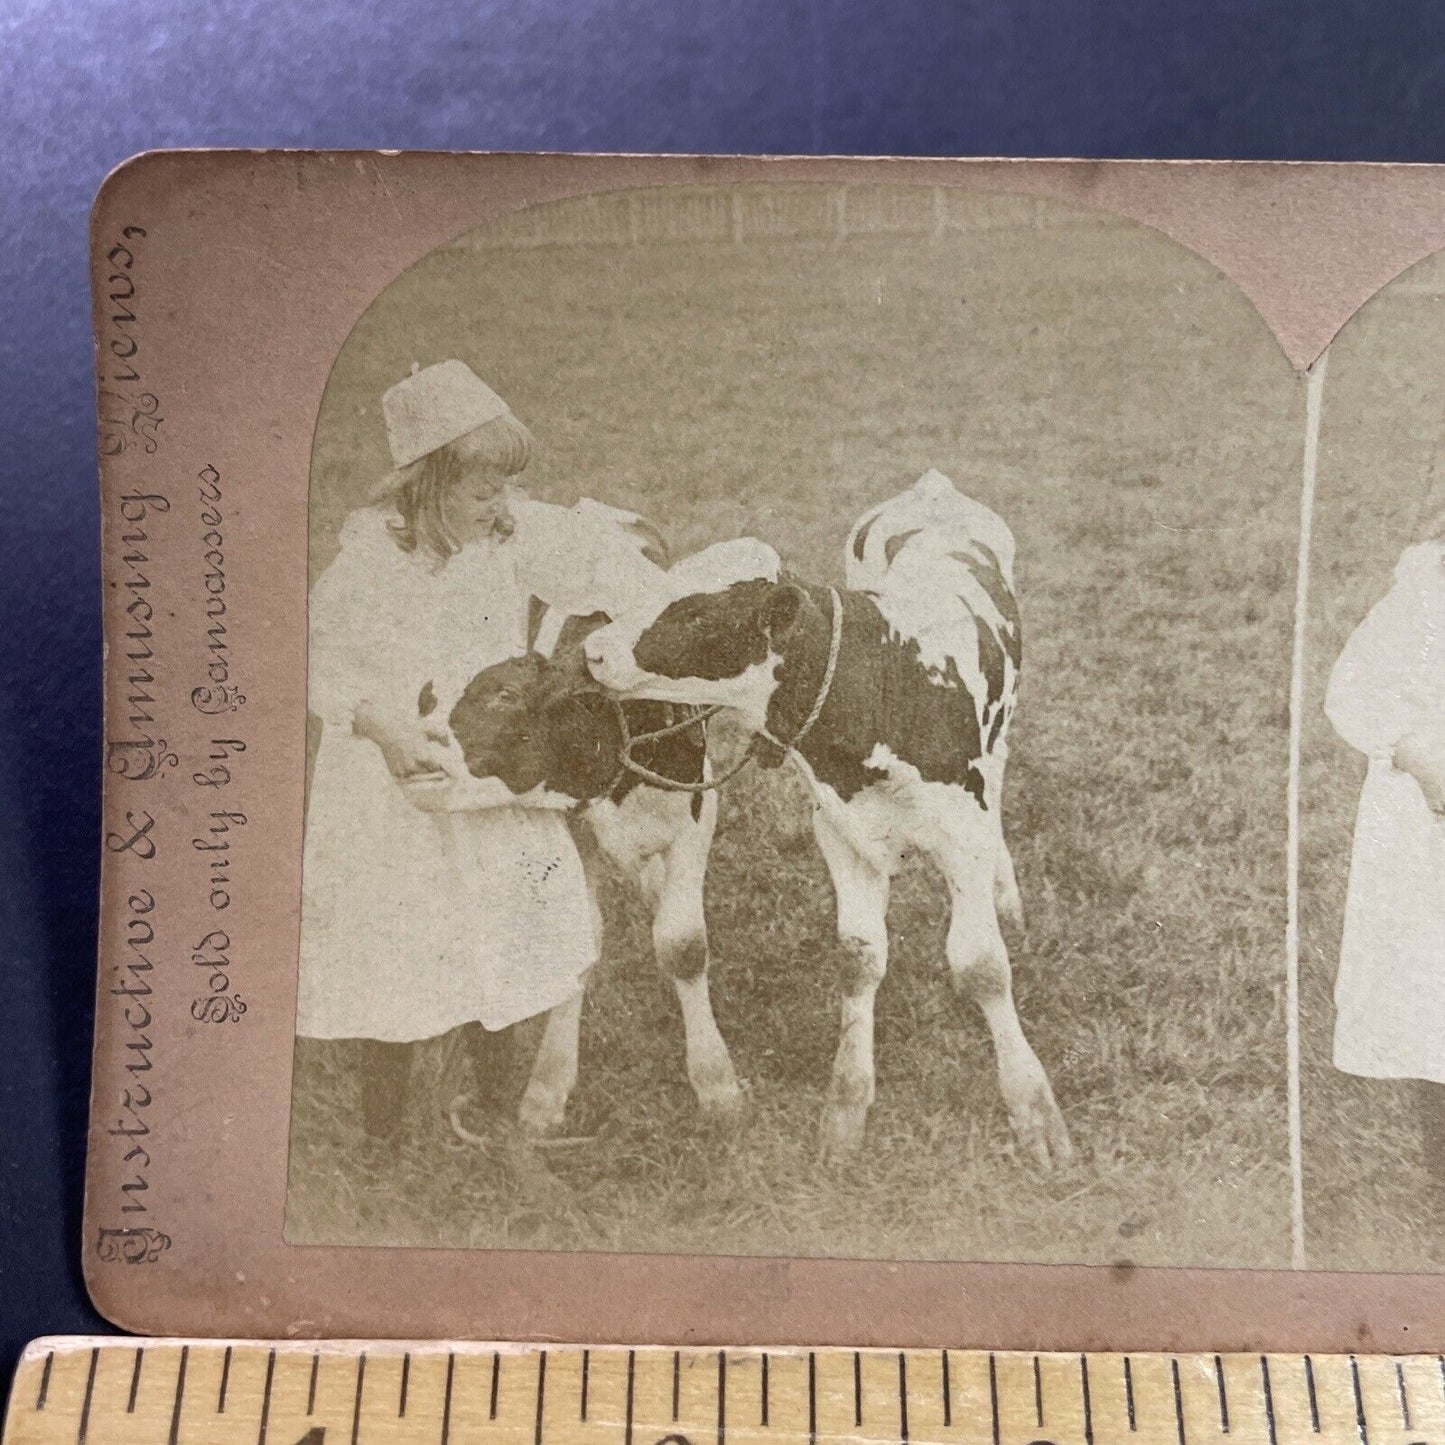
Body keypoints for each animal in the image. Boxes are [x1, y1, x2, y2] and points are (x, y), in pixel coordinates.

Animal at [447, 609, 745, 1127]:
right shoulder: (570, 824)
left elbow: (684, 945)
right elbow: (579, 940)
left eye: (505, 696)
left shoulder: (698, 810)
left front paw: (716, 1083)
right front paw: (547, 1086)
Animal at [586, 468, 1075, 1167]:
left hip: (1001, 737)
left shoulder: (961, 830)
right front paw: (846, 1109)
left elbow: (982, 964)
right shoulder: (841, 831)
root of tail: (933, 488)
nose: (591, 650)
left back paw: (1007, 895)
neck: (886, 680)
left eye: (697, 611)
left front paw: (1033, 1109)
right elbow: (859, 959)